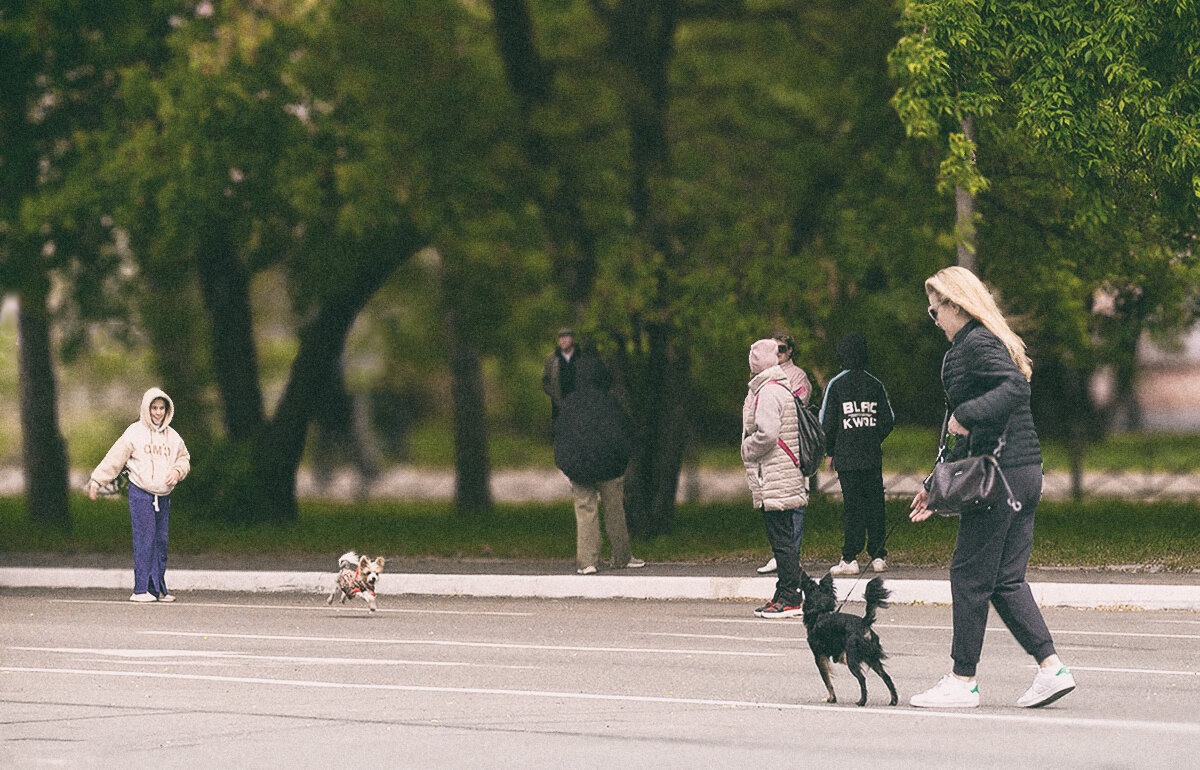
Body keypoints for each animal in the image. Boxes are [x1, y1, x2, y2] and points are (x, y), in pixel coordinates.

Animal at [801, 566, 897, 705]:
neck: (820, 612)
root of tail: (864, 622)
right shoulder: (841, 655)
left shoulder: (819, 656)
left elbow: (827, 680)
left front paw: (832, 698)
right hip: (872, 658)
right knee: (886, 677)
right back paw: (893, 700)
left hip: (853, 660)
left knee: (862, 679)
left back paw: (862, 701)